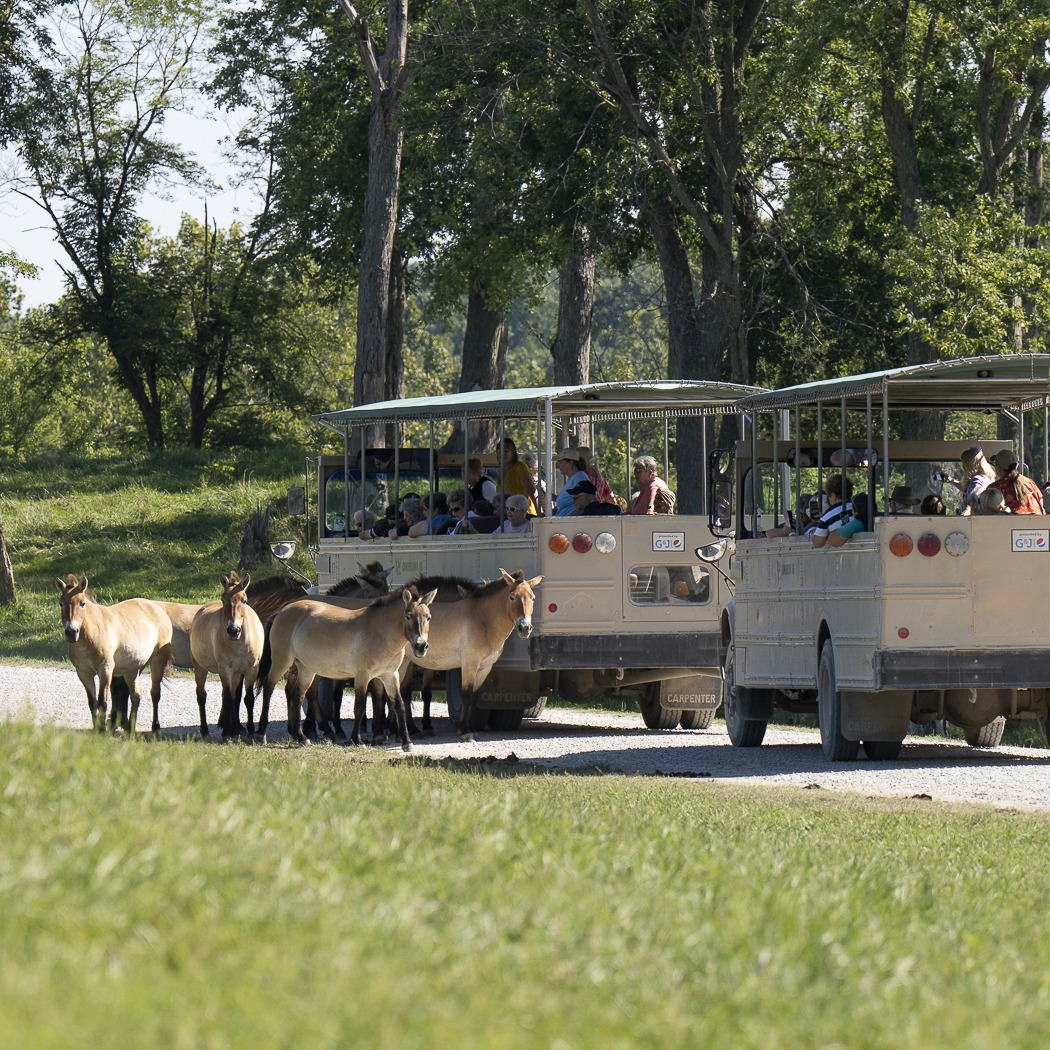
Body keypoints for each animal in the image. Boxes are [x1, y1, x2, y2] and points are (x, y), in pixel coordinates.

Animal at [56, 574, 173, 735]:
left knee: (154, 693)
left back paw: (154, 727)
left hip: (157, 662)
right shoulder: (84, 673)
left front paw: (102, 730)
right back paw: (129, 728)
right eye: (61, 603)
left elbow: (102, 702)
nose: (71, 632)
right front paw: (97, 728)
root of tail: (158, 609)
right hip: (133, 669)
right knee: (135, 695)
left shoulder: (105, 670)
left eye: (82, 603)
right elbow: (92, 702)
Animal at [189, 571, 265, 740]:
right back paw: (206, 730)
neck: (240, 643)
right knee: (201, 696)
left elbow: (246, 699)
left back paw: (234, 727)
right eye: (223, 600)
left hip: (236, 674)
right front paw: (229, 732)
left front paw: (249, 729)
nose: (233, 630)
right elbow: (230, 699)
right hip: (200, 667)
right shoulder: (225, 669)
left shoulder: (251, 669)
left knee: (233, 695)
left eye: (244, 600)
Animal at [257, 587, 437, 750]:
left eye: (428, 617)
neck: (380, 631)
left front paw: (406, 742)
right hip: (282, 661)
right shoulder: (363, 676)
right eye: (408, 616)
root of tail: (282, 611)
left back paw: (301, 737)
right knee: (268, 686)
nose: (421, 646)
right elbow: (359, 707)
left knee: (298, 695)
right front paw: (356, 740)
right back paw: (261, 734)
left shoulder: (389, 675)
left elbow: (399, 704)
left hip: (306, 668)